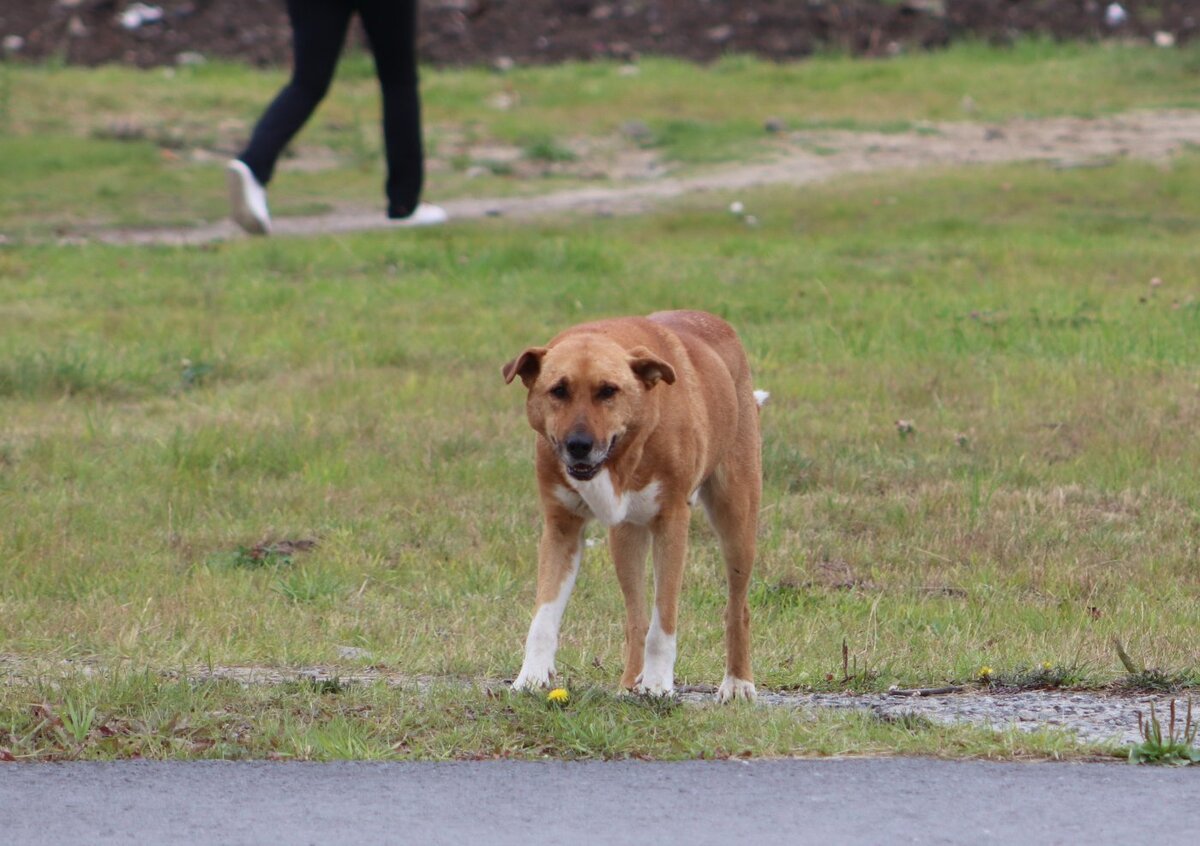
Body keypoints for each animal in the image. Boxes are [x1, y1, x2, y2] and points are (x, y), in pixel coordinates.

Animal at [501, 309, 763, 700]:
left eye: (608, 391)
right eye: (558, 390)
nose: (578, 445)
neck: (621, 456)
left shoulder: (672, 521)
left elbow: (664, 619)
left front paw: (658, 684)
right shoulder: (561, 527)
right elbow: (544, 616)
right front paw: (529, 679)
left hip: (737, 519)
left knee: (737, 607)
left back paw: (737, 683)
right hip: (625, 537)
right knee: (636, 616)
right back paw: (629, 684)